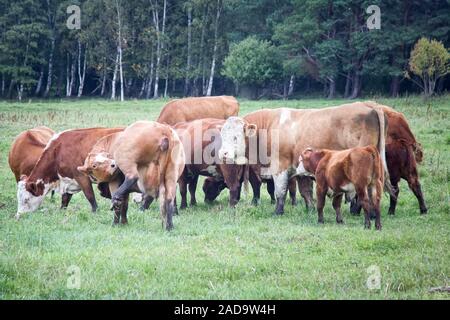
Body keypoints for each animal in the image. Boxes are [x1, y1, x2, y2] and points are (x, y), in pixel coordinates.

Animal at [220, 104, 388, 216]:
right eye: (222, 135)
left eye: (235, 137)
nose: (223, 153)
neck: (269, 127)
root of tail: (370, 106)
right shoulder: (300, 169)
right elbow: (305, 192)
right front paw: (311, 209)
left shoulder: (280, 166)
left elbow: (280, 191)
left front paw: (278, 211)